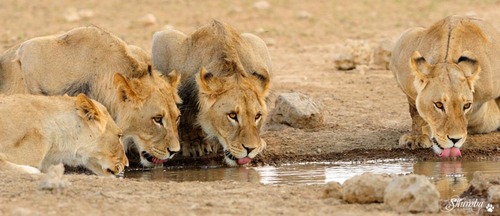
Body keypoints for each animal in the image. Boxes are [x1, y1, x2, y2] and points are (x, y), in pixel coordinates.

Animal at [152, 19, 272, 165]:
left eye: (257, 116)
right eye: (232, 115)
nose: (251, 148)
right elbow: (185, 120)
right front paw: (194, 145)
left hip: (257, 41)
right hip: (163, 37)